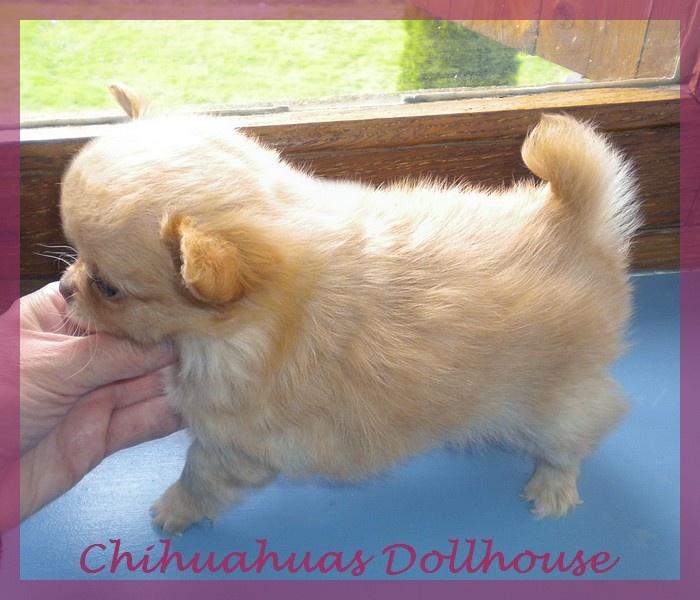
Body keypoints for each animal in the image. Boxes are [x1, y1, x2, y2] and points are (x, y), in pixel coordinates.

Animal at [58, 84, 639, 534]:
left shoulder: (232, 445)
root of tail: (571, 223)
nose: (64, 288)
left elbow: (198, 480)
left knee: (576, 436)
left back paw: (553, 485)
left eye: (108, 288)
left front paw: (174, 511)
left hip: (555, 400)